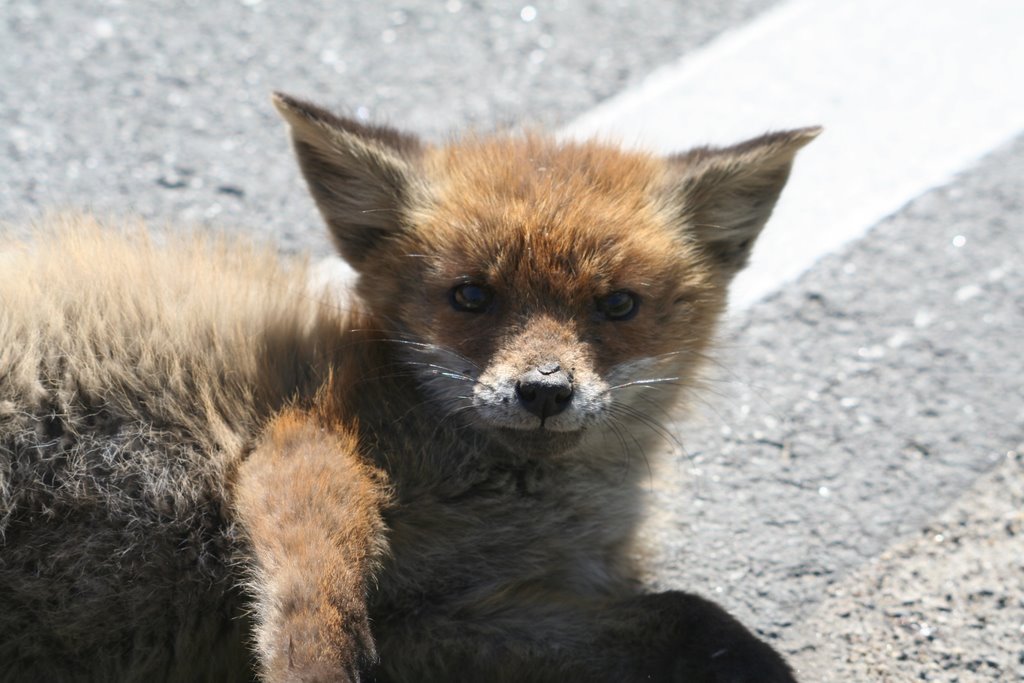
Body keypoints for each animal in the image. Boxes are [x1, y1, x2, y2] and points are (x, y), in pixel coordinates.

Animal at [0, 92, 815, 683]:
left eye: (617, 306)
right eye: (471, 296)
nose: (544, 390)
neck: (508, 501)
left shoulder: (434, 620)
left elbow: (690, 617)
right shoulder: (301, 436)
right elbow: (319, 590)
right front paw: (313, 663)